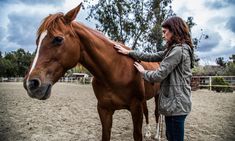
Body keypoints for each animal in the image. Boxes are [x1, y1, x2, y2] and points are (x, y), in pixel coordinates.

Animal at [23, 3, 160, 141]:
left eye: (58, 39)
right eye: (37, 42)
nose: (30, 84)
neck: (115, 70)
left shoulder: (136, 108)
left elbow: (138, 133)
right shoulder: (104, 110)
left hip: (157, 96)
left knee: (157, 113)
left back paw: (157, 135)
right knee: (147, 112)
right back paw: (149, 132)